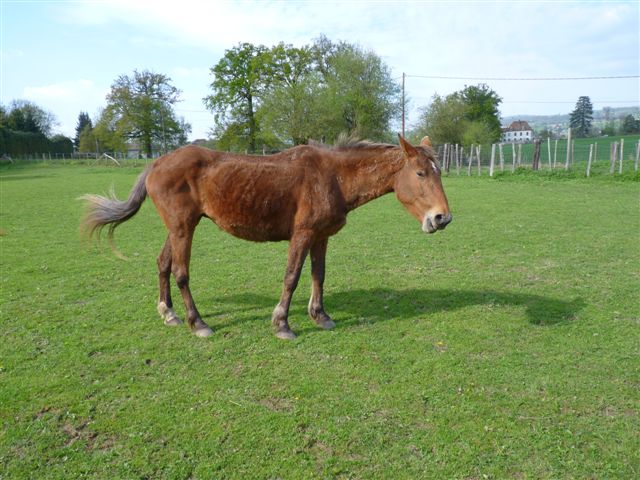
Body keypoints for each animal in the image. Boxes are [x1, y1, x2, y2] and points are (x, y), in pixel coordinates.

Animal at [81, 133, 450, 340]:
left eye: (439, 172)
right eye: (420, 173)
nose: (442, 217)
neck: (332, 176)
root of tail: (157, 163)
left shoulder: (321, 237)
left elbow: (318, 275)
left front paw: (321, 316)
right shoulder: (302, 235)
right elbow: (292, 277)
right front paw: (282, 324)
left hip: (177, 227)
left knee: (162, 264)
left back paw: (168, 313)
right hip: (184, 227)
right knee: (181, 273)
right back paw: (197, 323)